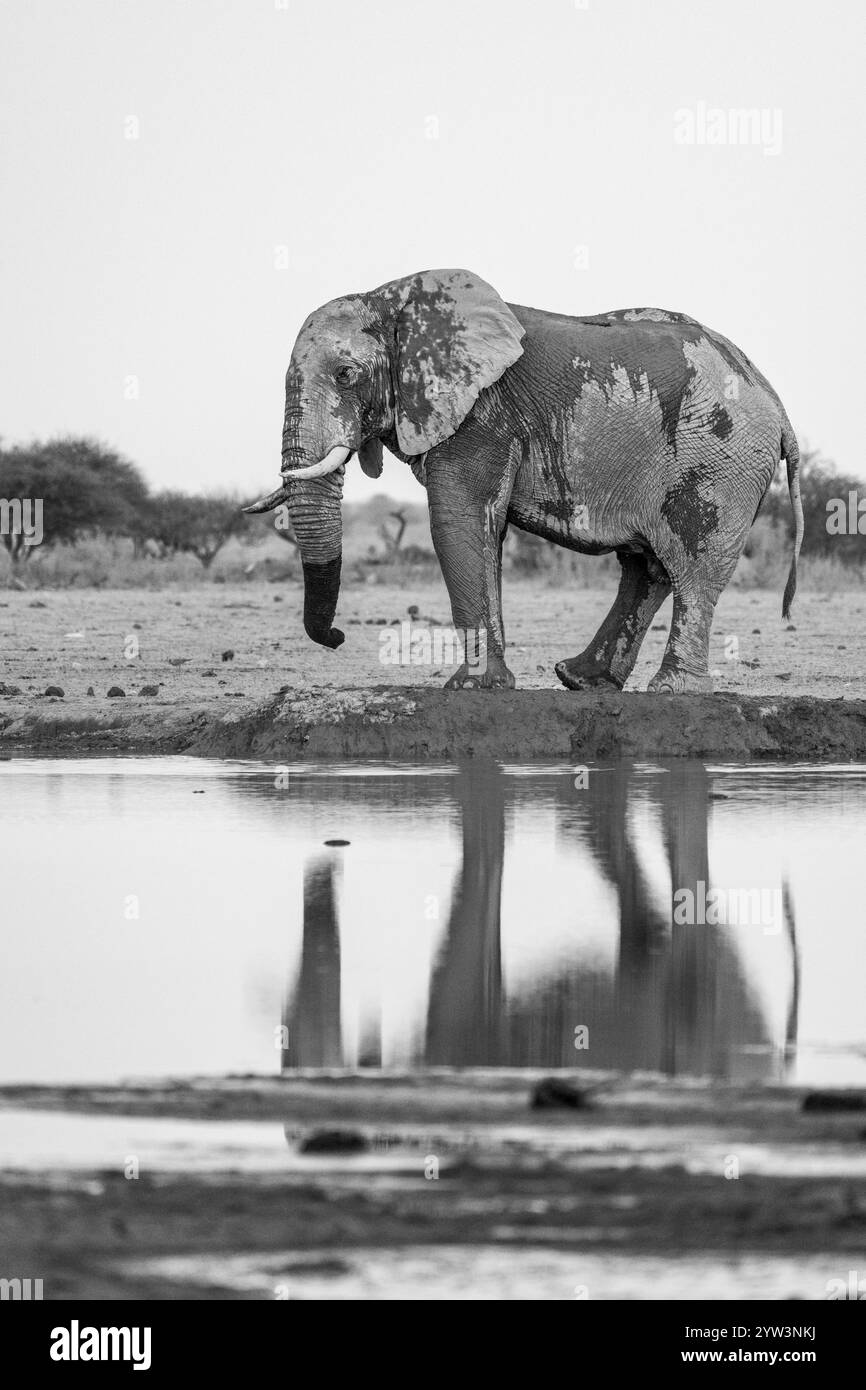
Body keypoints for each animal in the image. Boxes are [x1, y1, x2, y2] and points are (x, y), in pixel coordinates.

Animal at [246, 265, 806, 689]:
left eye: (346, 375)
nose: (338, 637)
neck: (396, 301)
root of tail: (779, 406)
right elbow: (482, 531)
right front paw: (491, 685)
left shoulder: (483, 414)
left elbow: (458, 521)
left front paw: (470, 689)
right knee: (647, 566)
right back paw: (580, 680)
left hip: (720, 460)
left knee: (693, 563)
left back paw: (671, 690)